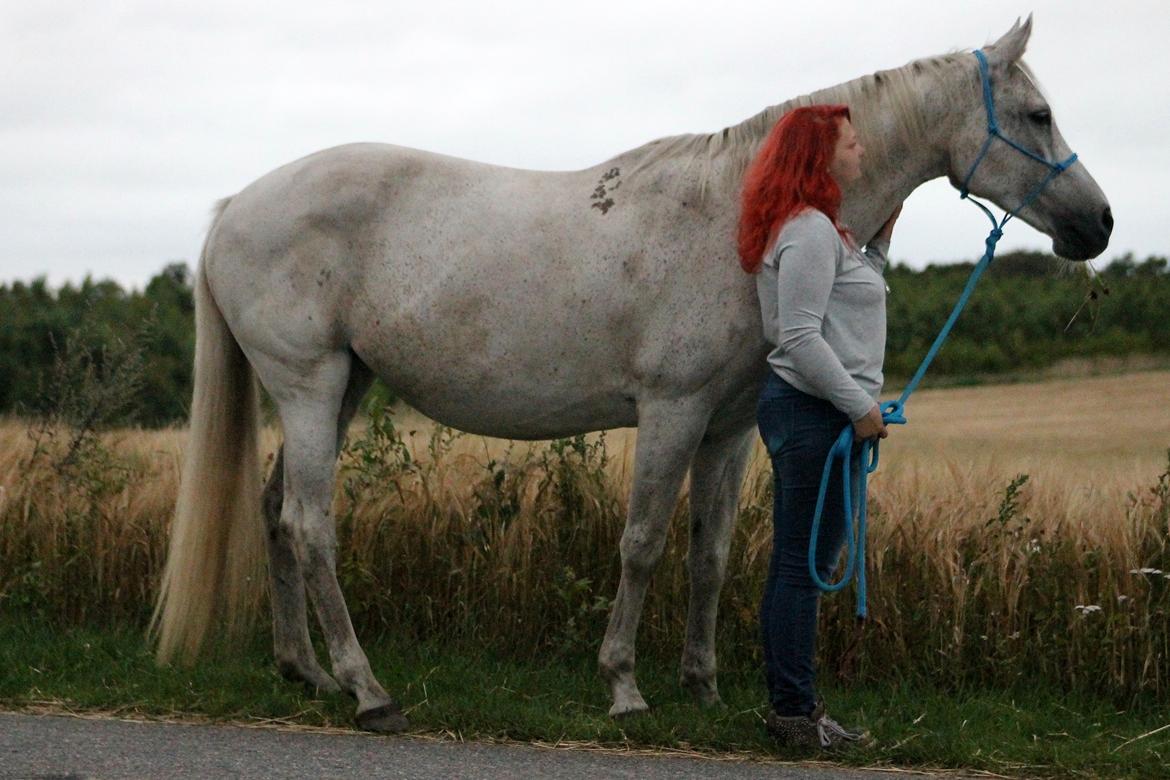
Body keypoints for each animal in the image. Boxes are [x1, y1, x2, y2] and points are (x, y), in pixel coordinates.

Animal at [153, 18, 1104, 734]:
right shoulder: (672, 411)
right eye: (1038, 113)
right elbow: (643, 543)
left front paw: (705, 687)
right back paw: (367, 689)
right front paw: (624, 687)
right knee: (310, 525)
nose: (1098, 223)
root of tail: (235, 208)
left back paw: (305, 672)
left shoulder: (728, 428)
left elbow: (711, 555)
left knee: (275, 514)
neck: (737, 216)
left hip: (342, 387)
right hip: (310, 387)